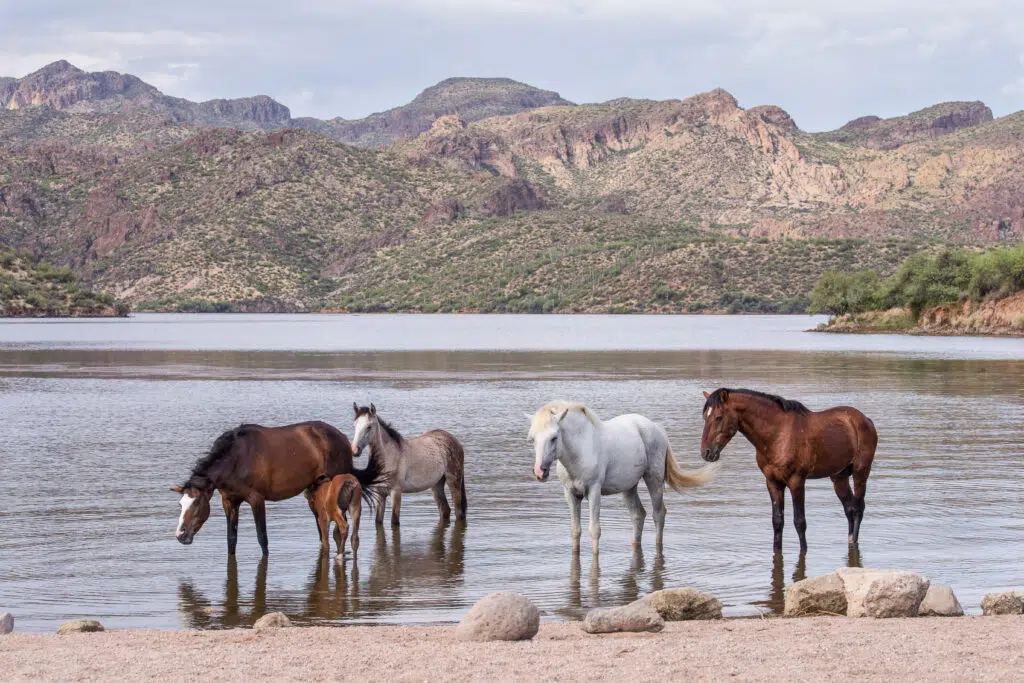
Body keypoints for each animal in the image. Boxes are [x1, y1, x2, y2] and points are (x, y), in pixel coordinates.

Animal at [172, 421, 386, 556]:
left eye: (197, 503)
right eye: (181, 504)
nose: (181, 535)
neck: (236, 459)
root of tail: (343, 439)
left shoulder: (256, 499)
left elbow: (262, 538)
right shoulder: (229, 502)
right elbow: (231, 539)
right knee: (323, 529)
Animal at [528, 400, 718, 555]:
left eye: (554, 437)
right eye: (533, 439)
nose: (540, 472)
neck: (580, 450)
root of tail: (656, 427)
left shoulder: (594, 491)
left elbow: (594, 530)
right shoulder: (571, 493)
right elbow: (575, 531)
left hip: (653, 479)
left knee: (658, 514)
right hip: (628, 487)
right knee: (638, 515)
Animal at [699, 388, 877, 554]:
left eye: (718, 417)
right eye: (705, 417)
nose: (706, 452)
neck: (777, 435)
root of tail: (866, 420)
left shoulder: (796, 481)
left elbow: (800, 522)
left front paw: (803, 551)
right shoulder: (773, 482)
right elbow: (777, 521)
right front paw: (777, 550)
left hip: (861, 472)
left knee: (858, 508)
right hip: (839, 476)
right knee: (850, 508)